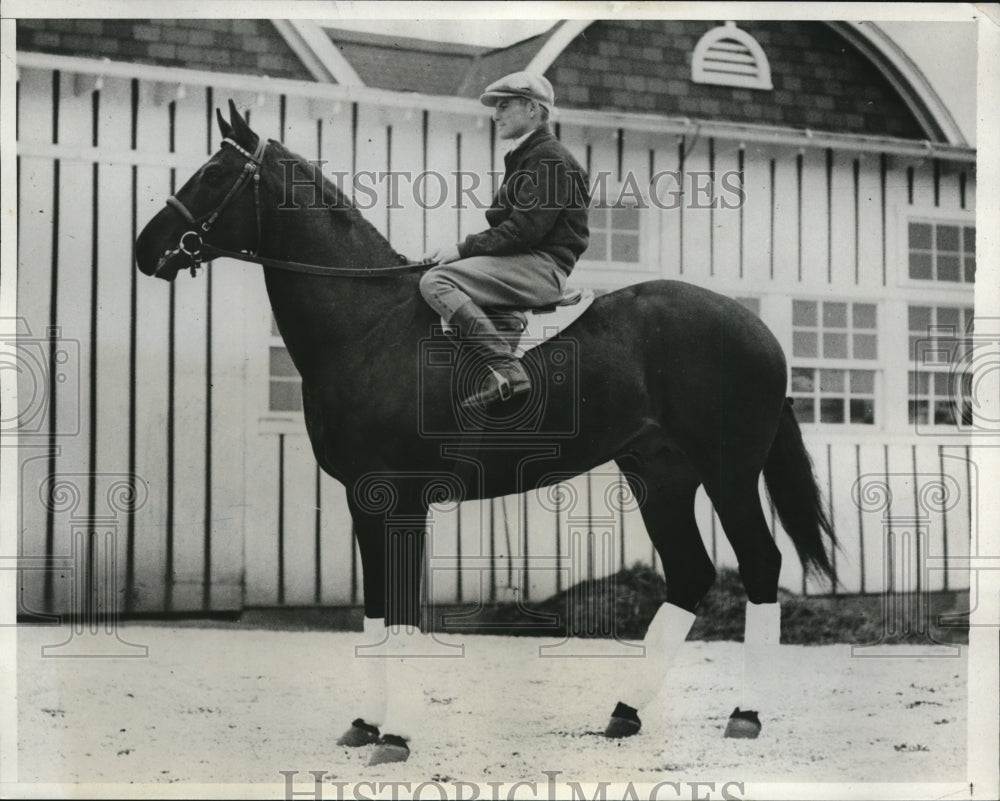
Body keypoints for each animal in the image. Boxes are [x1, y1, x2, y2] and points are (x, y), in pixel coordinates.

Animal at [133, 103, 836, 764]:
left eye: (214, 174)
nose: (145, 248)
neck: (368, 327)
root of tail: (754, 327)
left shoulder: (402, 501)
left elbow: (405, 613)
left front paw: (397, 736)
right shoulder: (364, 499)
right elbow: (377, 609)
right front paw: (365, 725)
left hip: (728, 474)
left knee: (760, 563)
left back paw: (745, 713)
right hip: (658, 474)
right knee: (690, 574)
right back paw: (625, 712)